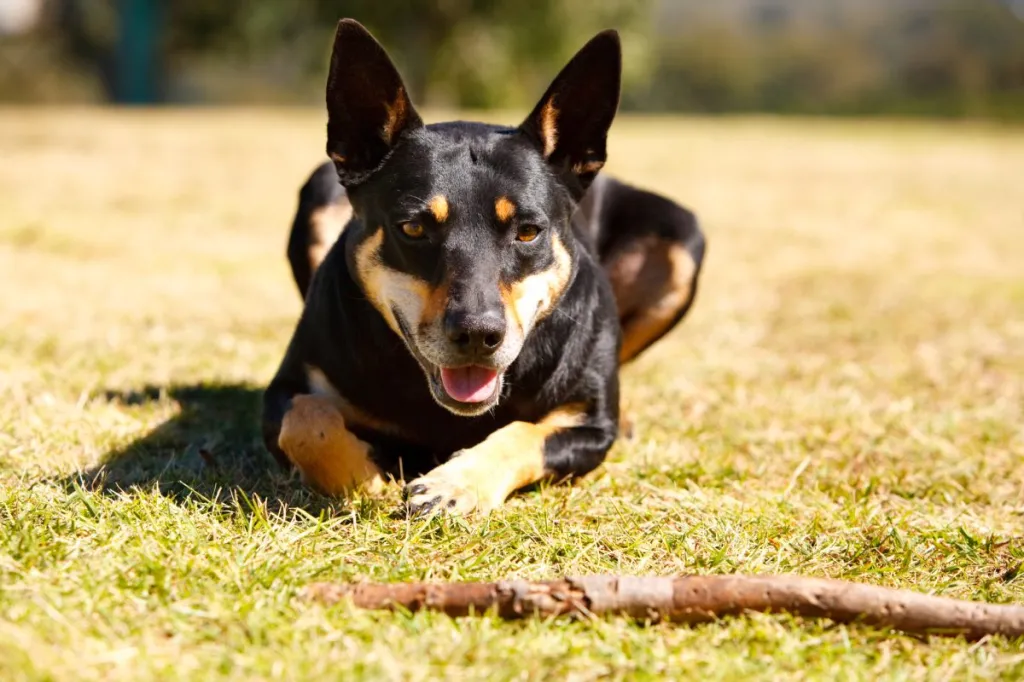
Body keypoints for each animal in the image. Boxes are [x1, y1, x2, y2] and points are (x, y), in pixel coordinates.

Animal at [260, 18, 704, 512]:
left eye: (528, 231)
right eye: (413, 228)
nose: (478, 335)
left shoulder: (589, 426)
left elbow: (524, 433)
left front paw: (455, 483)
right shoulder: (289, 388)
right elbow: (305, 420)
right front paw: (366, 477)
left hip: (681, 238)